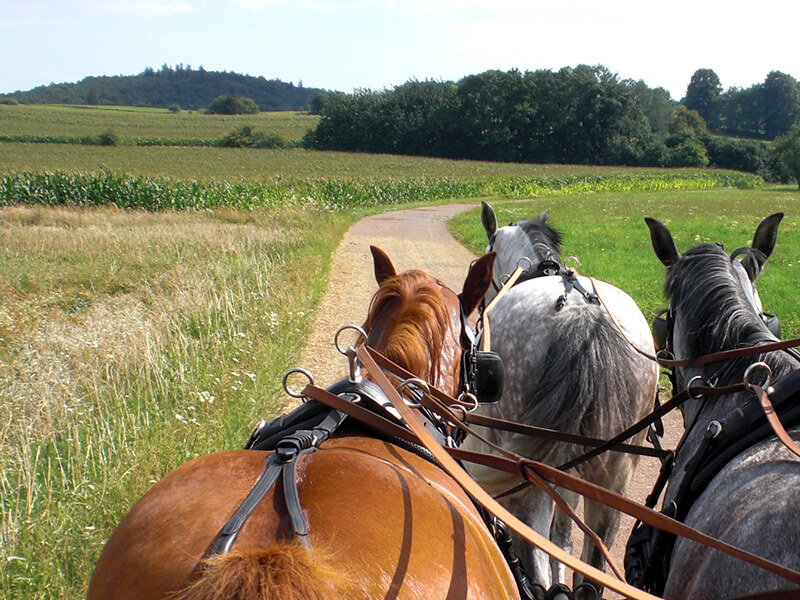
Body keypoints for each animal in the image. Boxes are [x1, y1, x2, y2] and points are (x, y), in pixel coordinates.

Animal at [462, 203, 656, 596]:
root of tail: (583, 315)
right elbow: (564, 538)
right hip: (612, 473)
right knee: (591, 567)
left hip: (523, 472)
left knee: (533, 552)